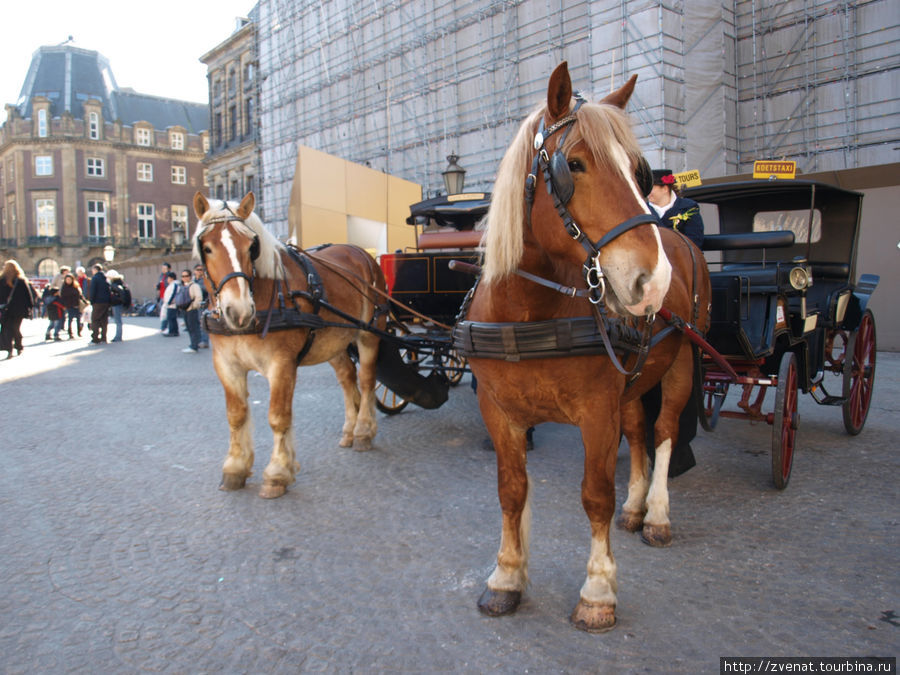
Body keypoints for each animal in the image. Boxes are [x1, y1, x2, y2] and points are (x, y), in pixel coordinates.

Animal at [192, 193, 388, 500]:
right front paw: (235, 468)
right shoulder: (226, 365)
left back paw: (363, 431)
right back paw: (349, 429)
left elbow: (278, 417)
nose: (238, 311)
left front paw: (277, 473)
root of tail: (363, 254)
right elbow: (236, 416)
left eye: (251, 246)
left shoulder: (281, 363)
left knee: (366, 381)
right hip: (332, 342)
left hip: (369, 334)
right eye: (207, 248)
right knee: (347, 380)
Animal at [464, 64, 712, 632]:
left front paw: (598, 590)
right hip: (635, 378)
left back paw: (657, 514)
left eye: (638, 174)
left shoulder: (597, 411)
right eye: (572, 165)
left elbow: (596, 495)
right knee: (639, 432)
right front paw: (506, 576)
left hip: (682, 362)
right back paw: (636, 507)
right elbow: (511, 490)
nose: (654, 279)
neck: (529, 312)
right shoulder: (499, 411)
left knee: (664, 432)